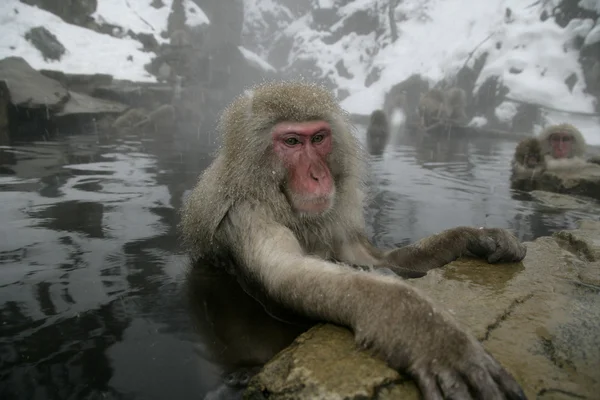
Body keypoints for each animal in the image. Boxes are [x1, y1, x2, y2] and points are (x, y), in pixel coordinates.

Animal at [180, 80, 528, 400]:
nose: (318, 175)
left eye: (318, 138)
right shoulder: (247, 214)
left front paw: (474, 236)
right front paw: (431, 335)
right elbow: (287, 276)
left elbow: (377, 261)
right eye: (291, 141)